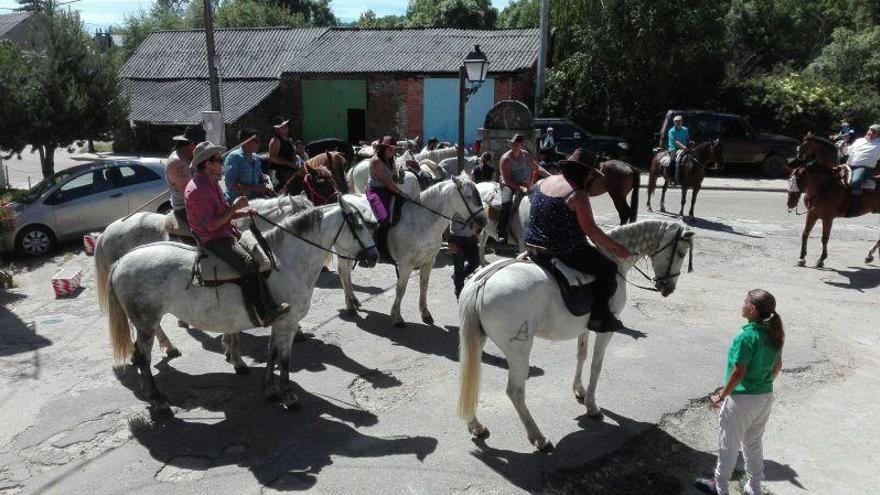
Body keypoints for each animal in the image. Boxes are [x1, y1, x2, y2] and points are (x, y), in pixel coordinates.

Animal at [336, 176, 488, 328]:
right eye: (468, 196)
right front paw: (397, 317)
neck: (422, 222)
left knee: (346, 273)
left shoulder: (429, 261)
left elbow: (424, 285)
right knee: (344, 273)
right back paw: (350, 306)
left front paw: (425, 313)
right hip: (345, 253)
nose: (483, 221)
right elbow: (401, 289)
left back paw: (353, 301)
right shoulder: (406, 264)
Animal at [458, 219, 692, 452]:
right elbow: (596, 365)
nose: (668, 288)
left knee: (472, 380)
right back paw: (538, 437)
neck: (614, 259)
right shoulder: (607, 330)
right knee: (515, 392)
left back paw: (475, 425)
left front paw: (579, 390)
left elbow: (582, 355)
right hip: (519, 351)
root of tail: (481, 282)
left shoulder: (585, 327)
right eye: (681, 252)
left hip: (478, 341)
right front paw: (592, 406)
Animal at [788, 136, 876, 268]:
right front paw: (802, 258)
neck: (825, 186)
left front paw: (821, 259)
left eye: (797, 180)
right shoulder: (812, 214)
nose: (790, 203)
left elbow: (825, 238)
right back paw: (869, 255)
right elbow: (805, 233)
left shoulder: (827, 218)